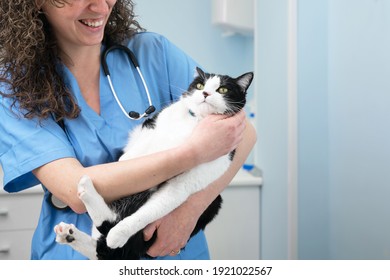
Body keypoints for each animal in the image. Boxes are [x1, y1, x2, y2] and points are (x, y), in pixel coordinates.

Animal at [54, 68, 253, 260]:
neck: (195, 121)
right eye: (200, 85)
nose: (205, 93)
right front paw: (127, 159)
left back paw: (80, 219)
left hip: (211, 204)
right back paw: (70, 231)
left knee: (109, 245)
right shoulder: (154, 126)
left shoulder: (185, 184)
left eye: (223, 90)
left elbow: (149, 213)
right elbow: (149, 141)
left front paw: (118, 234)